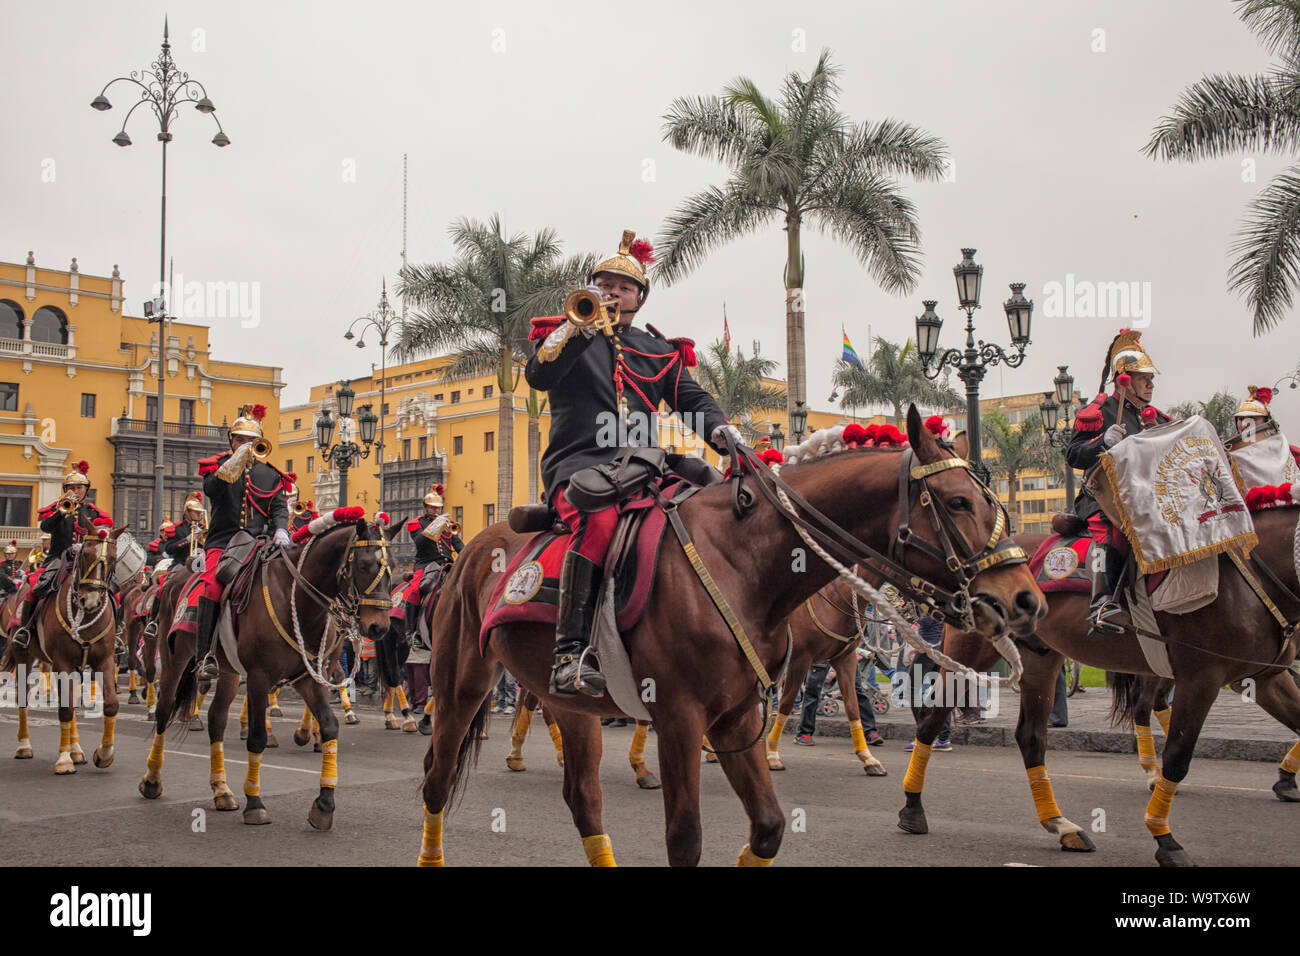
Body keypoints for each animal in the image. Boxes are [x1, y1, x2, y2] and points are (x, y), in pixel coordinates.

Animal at [1, 535, 125, 775]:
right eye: (85, 554)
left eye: (114, 558)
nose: (91, 601)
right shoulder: (62, 663)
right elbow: (65, 709)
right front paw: (64, 760)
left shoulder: (103, 661)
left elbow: (110, 704)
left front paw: (104, 754)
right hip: (24, 656)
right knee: (23, 696)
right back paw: (24, 746)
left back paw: (76, 750)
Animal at [139, 515, 390, 832]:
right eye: (364, 565)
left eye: (390, 568)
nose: (379, 627)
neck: (296, 597)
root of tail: (174, 578)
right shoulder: (259, 676)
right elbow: (256, 737)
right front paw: (255, 803)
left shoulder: (308, 675)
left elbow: (330, 725)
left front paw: (324, 804)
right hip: (173, 657)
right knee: (164, 711)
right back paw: (151, 779)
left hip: (229, 670)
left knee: (216, 720)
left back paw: (221, 790)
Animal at [416, 403, 1045, 868]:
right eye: (959, 502)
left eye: (992, 500)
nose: (1026, 599)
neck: (745, 563)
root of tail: (473, 546)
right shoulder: (679, 716)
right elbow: (686, 839)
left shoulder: (737, 715)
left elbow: (768, 825)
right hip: (460, 684)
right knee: (436, 781)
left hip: (572, 704)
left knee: (583, 800)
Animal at [904, 504, 1300, 868]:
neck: (1252, 580)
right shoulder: (1201, 677)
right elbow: (1177, 757)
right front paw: (1165, 839)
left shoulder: (1265, 677)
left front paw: (1285, 780)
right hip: (971, 653)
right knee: (931, 720)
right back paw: (912, 808)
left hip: (1041, 659)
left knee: (1033, 736)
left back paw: (1061, 825)